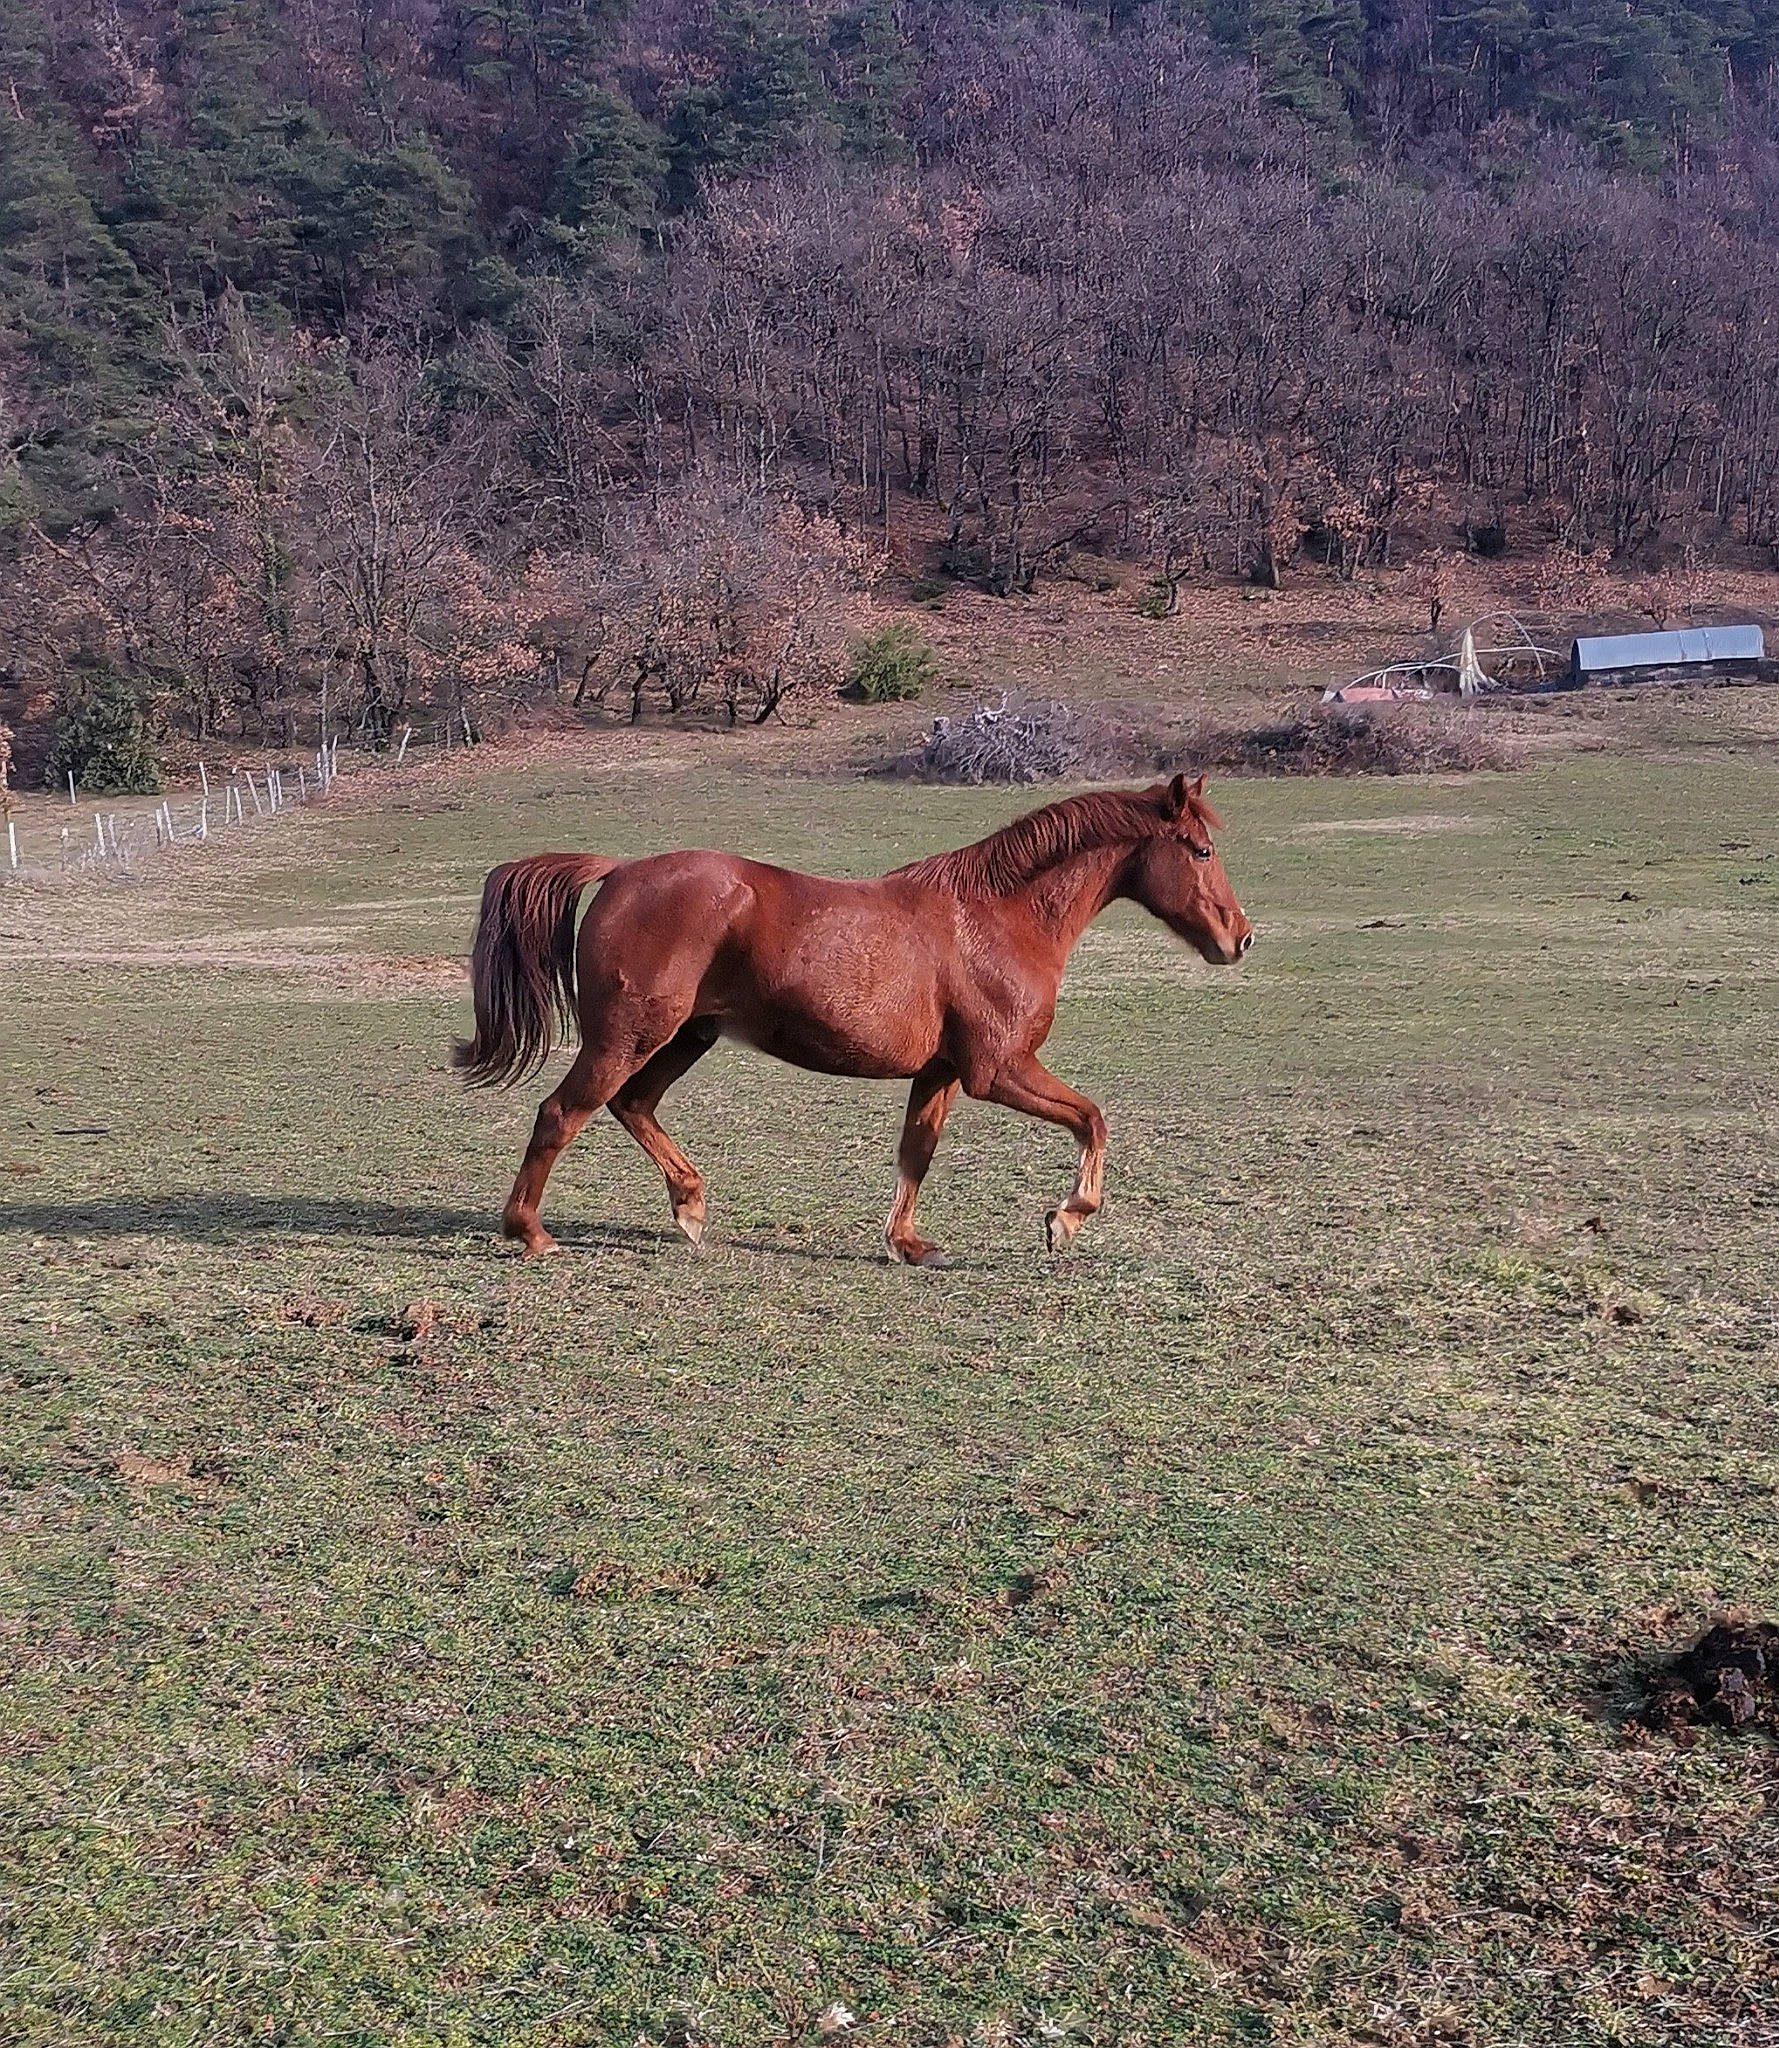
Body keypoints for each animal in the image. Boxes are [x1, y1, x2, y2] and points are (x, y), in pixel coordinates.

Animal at [454, 773, 1252, 1262]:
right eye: (1202, 849)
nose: (1239, 939)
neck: (996, 917)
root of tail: (619, 871)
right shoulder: (997, 1070)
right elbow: (1092, 1118)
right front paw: (1066, 1217)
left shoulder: (942, 1073)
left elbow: (915, 1154)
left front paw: (907, 1243)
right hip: (627, 1035)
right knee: (562, 1112)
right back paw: (531, 1233)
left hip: (685, 1037)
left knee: (632, 1105)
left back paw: (690, 1207)